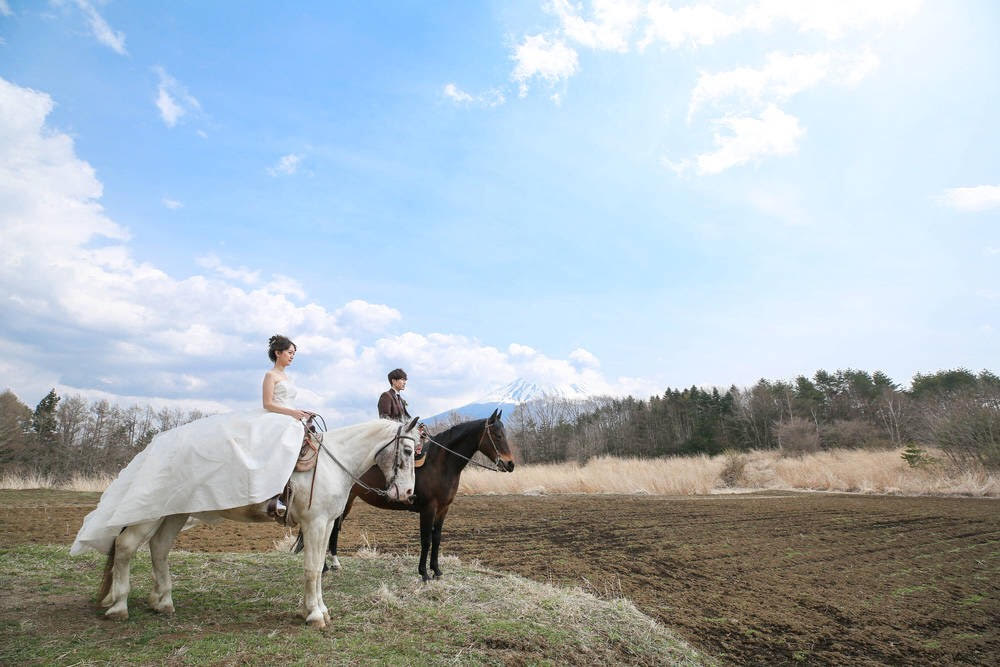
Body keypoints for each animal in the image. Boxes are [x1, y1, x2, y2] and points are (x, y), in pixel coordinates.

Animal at [95, 414, 416, 628]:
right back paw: (119, 605)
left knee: (159, 548)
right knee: (125, 546)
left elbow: (317, 567)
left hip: (174, 513)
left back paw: (162, 602)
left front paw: (318, 609)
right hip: (150, 513)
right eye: (409, 450)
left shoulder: (325, 524)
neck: (332, 462)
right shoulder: (314, 524)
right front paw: (314, 615)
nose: (408, 493)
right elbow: (312, 569)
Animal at [298, 408, 516, 580]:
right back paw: (324, 567)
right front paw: (424, 573)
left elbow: (437, 538)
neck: (441, 463)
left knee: (335, 529)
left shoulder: (443, 509)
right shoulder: (428, 509)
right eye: (497, 435)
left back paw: (334, 563)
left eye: (504, 433)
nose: (510, 464)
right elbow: (426, 539)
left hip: (347, 501)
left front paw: (437, 570)